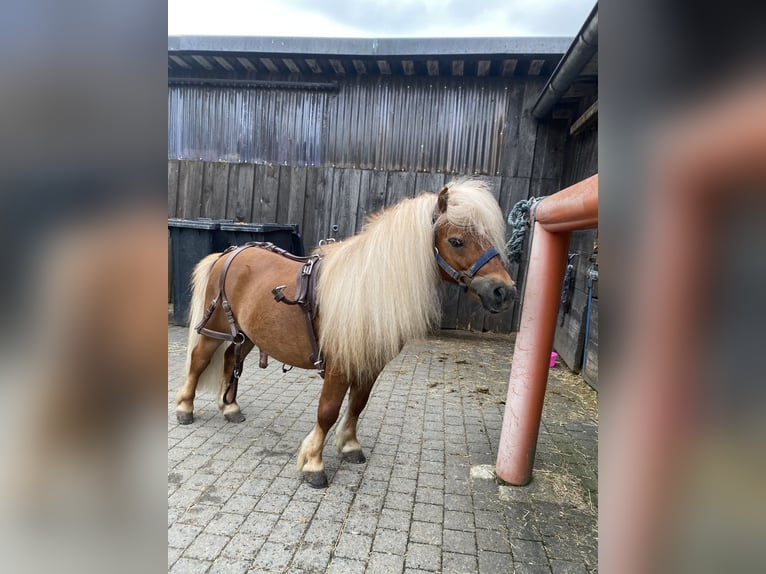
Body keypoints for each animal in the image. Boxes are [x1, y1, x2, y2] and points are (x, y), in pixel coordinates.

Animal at [174, 178, 516, 488]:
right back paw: (185, 408)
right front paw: (313, 464)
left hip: (247, 335)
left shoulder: (369, 365)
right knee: (198, 362)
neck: (366, 288)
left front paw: (350, 446)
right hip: (215, 329)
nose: (504, 292)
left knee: (231, 362)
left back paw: (230, 407)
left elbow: (357, 405)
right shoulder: (338, 366)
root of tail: (228, 253)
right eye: (457, 241)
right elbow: (328, 411)